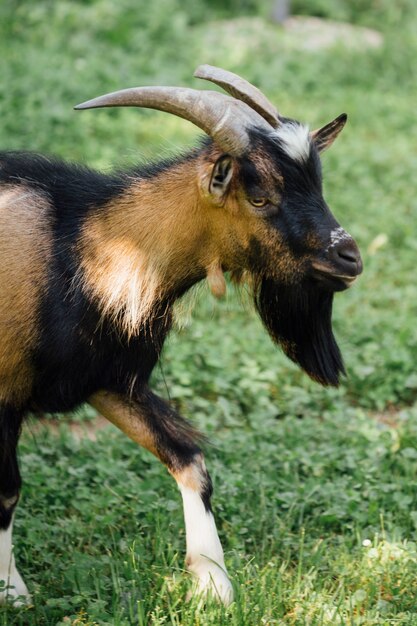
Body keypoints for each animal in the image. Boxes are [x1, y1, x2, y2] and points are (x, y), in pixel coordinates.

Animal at [0, 64, 360, 604]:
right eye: (260, 196)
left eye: (318, 186)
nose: (350, 257)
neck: (78, 252)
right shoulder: (5, 395)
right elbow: (6, 490)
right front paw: (12, 591)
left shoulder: (108, 380)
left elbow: (190, 459)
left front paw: (212, 583)